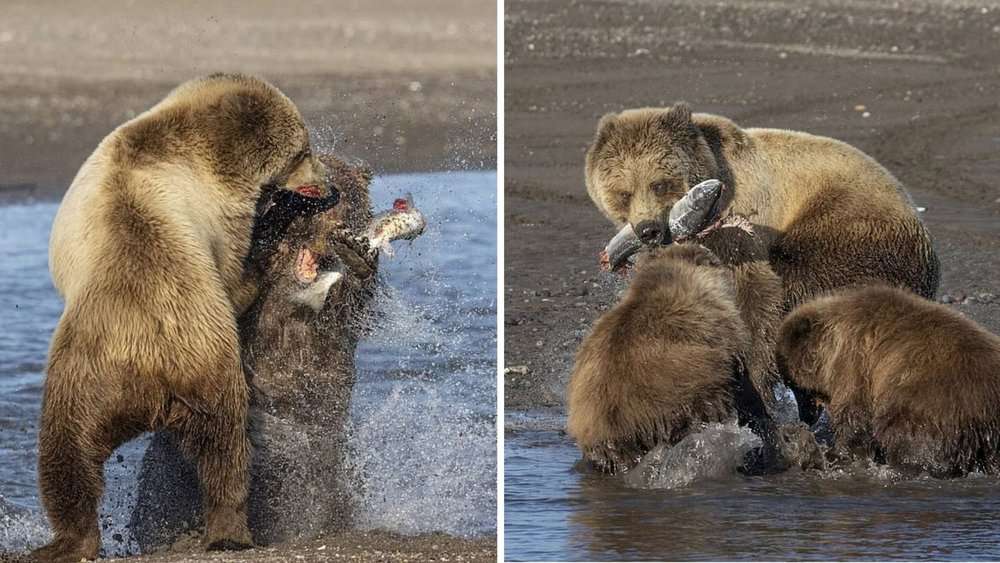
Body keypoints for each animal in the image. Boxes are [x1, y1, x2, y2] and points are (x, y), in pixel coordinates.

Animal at [37, 73, 338, 562]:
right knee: (225, 448)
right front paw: (271, 232)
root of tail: (148, 368)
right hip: (187, 361)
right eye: (304, 151)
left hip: (94, 380)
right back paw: (228, 529)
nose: (326, 185)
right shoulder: (222, 214)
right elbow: (234, 275)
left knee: (73, 457)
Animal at [584, 103, 940, 417]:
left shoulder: (741, 218)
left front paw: (756, 377)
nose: (649, 230)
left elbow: (754, 293)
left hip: (851, 229)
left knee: (805, 281)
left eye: (659, 183)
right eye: (624, 192)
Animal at [776, 285, 1000, 477]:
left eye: (795, 386)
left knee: (908, 436)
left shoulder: (854, 363)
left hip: (935, 403)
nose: (805, 417)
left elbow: (855, 417)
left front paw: (837, 453)